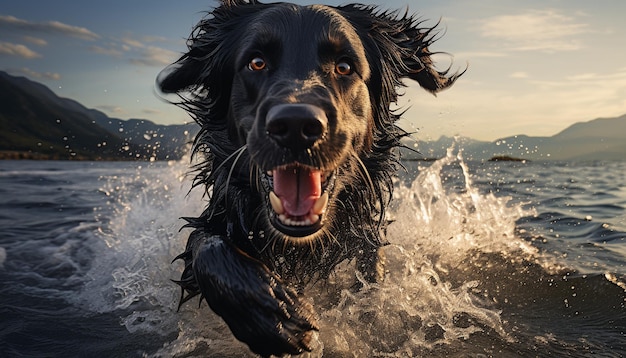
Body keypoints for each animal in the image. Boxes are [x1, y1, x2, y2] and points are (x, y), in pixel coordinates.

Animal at [156, 0, 458, 356]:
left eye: (344, 66)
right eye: (256, 62)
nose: (296, 126)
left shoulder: (365, 234)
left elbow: (372, 274)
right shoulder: (225, 211)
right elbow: (207, 245)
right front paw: (272, 314)